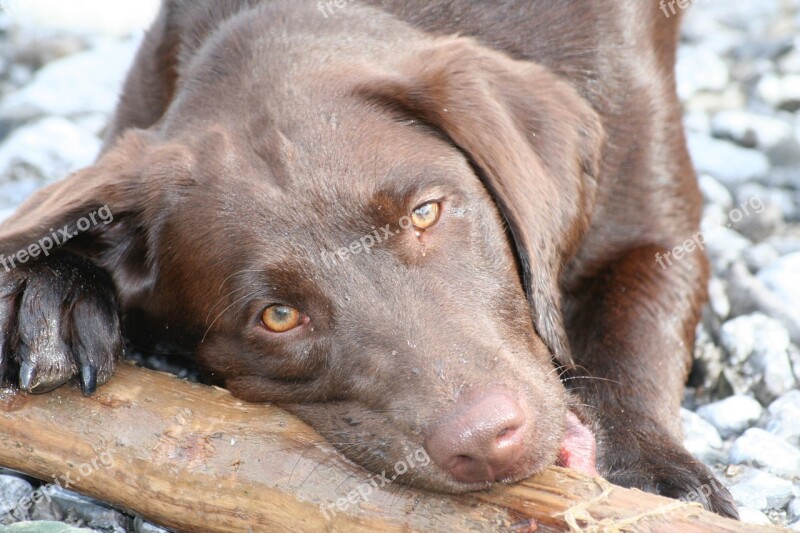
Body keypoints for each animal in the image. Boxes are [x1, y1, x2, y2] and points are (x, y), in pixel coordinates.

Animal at [0, 0, 736, 516]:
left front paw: (652, 477)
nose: (484, 440)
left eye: (426, 213)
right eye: (277, 315)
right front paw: (49, 294)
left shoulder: (654, 220)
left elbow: (632, 337)